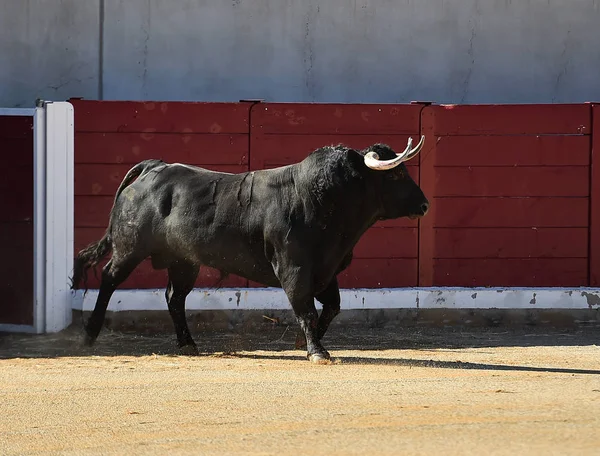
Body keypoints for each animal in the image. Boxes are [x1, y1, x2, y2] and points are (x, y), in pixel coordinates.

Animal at [72, 140, 428, 364]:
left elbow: (331, 308)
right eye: (397, 172)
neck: (323, 198)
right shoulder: (294, 269)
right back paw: (89, 335)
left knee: (174, 297)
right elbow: (307, 310)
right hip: (130, 248)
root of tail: (153, 167)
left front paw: (305, 344)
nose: (424, 205)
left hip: (183, 261)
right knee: (109, 279)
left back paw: (188, 344)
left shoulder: (326, 270)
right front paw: (316, 352)